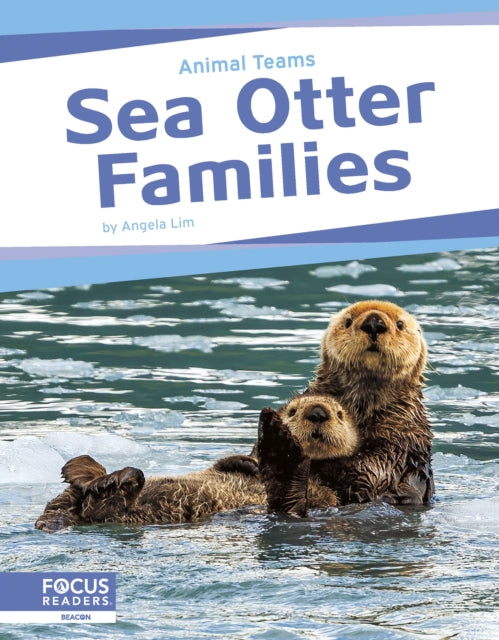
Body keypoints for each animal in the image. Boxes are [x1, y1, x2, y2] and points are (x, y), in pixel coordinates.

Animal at [35, 395, 358, 532]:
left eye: (339, 414)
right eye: (293, 409)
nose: (317, 412)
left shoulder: (328, 496)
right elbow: (229, 463)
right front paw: (249, 463)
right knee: (67, 498)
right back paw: (89, 469)